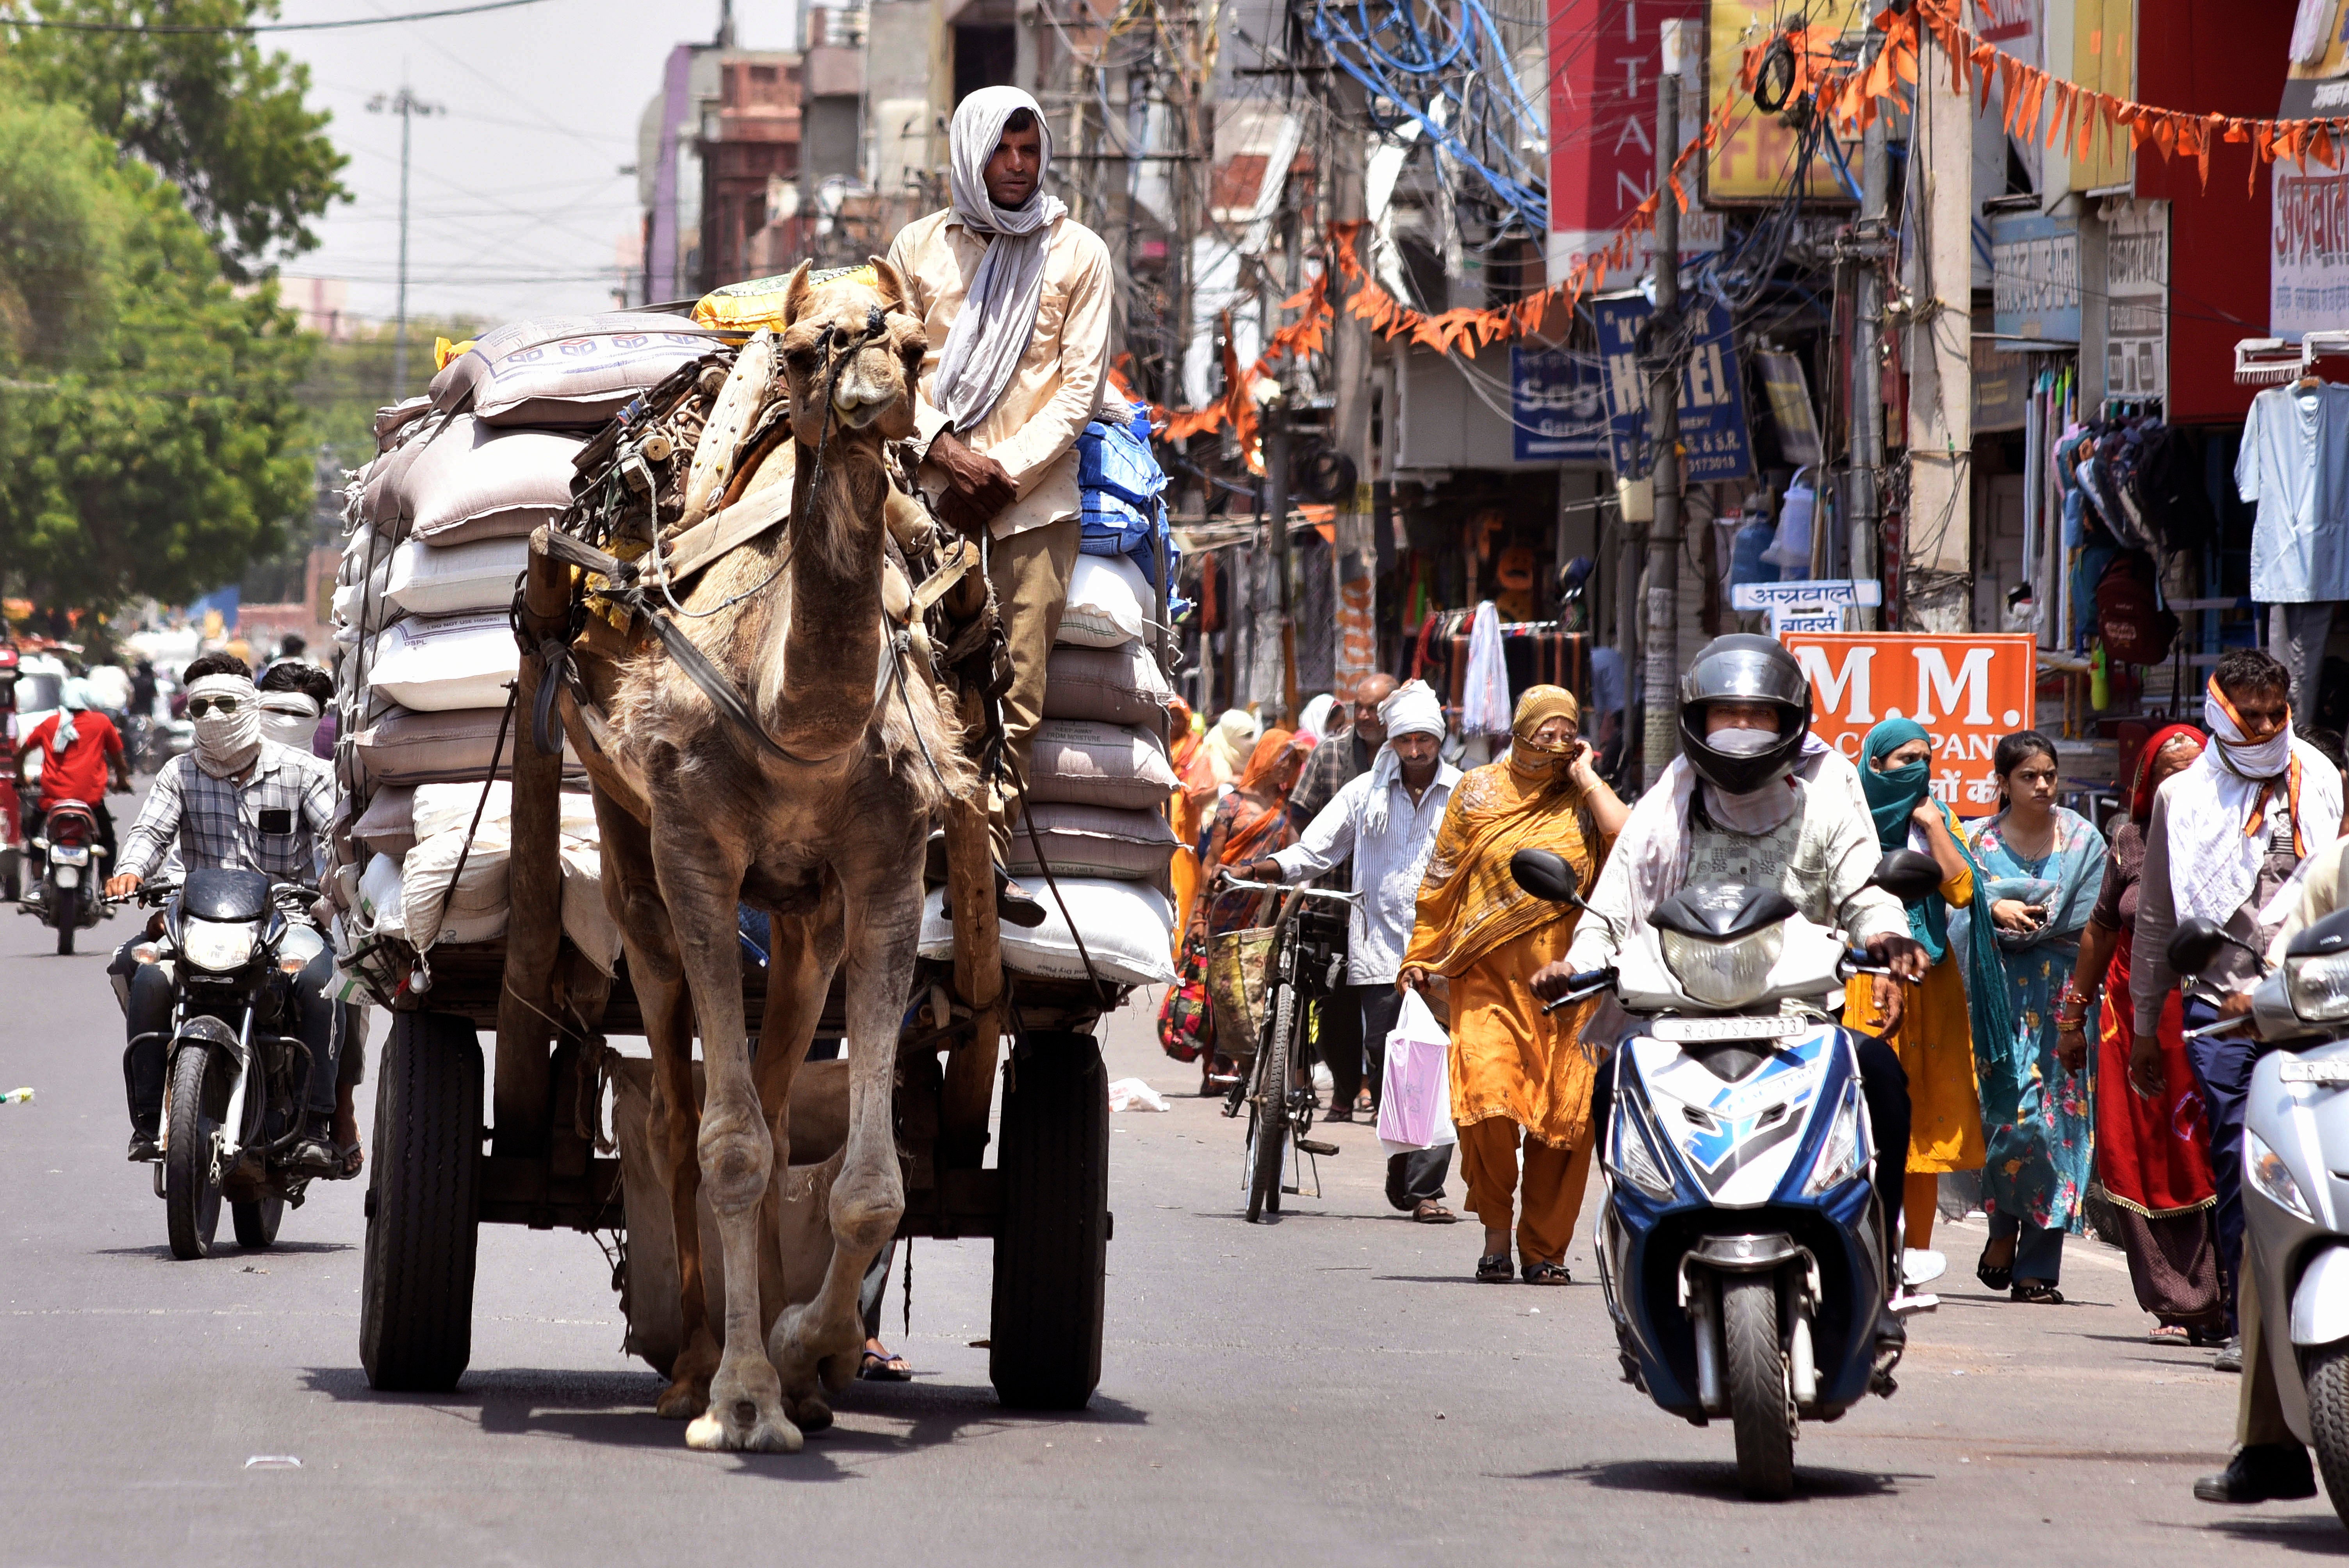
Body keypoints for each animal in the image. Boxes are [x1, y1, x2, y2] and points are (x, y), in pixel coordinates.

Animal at [592, 263, 968, 1455]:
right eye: (805, 351)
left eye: (917, 344)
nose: (875, 397)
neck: (790, 720)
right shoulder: (697, 858)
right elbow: (730, 1147)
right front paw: (742, 1400)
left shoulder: (887, 870)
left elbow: (869, 1183)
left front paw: (805, 1353)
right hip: (629, 852)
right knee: (679, 1115)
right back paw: (689, 1366)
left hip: (806, 923)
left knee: (763, 1079)